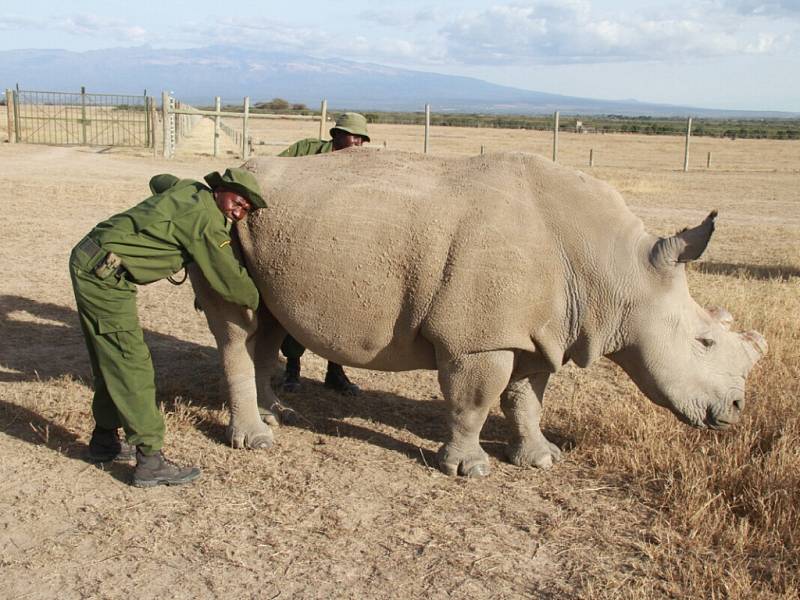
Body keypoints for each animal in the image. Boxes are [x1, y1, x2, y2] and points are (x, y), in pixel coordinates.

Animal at [189, 148, 768, 476]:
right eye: (704, 342)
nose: (738, 409)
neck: (616, 269)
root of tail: (225, 178)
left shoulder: (540, 329)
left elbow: (526, 400)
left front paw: (541, 459)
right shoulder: (479, 337)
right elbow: (475, 401)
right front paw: (469, 470)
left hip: (267, 234)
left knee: (268, 324)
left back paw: (278, 415)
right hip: (218, 226)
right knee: (238, 329)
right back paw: (256, 441)